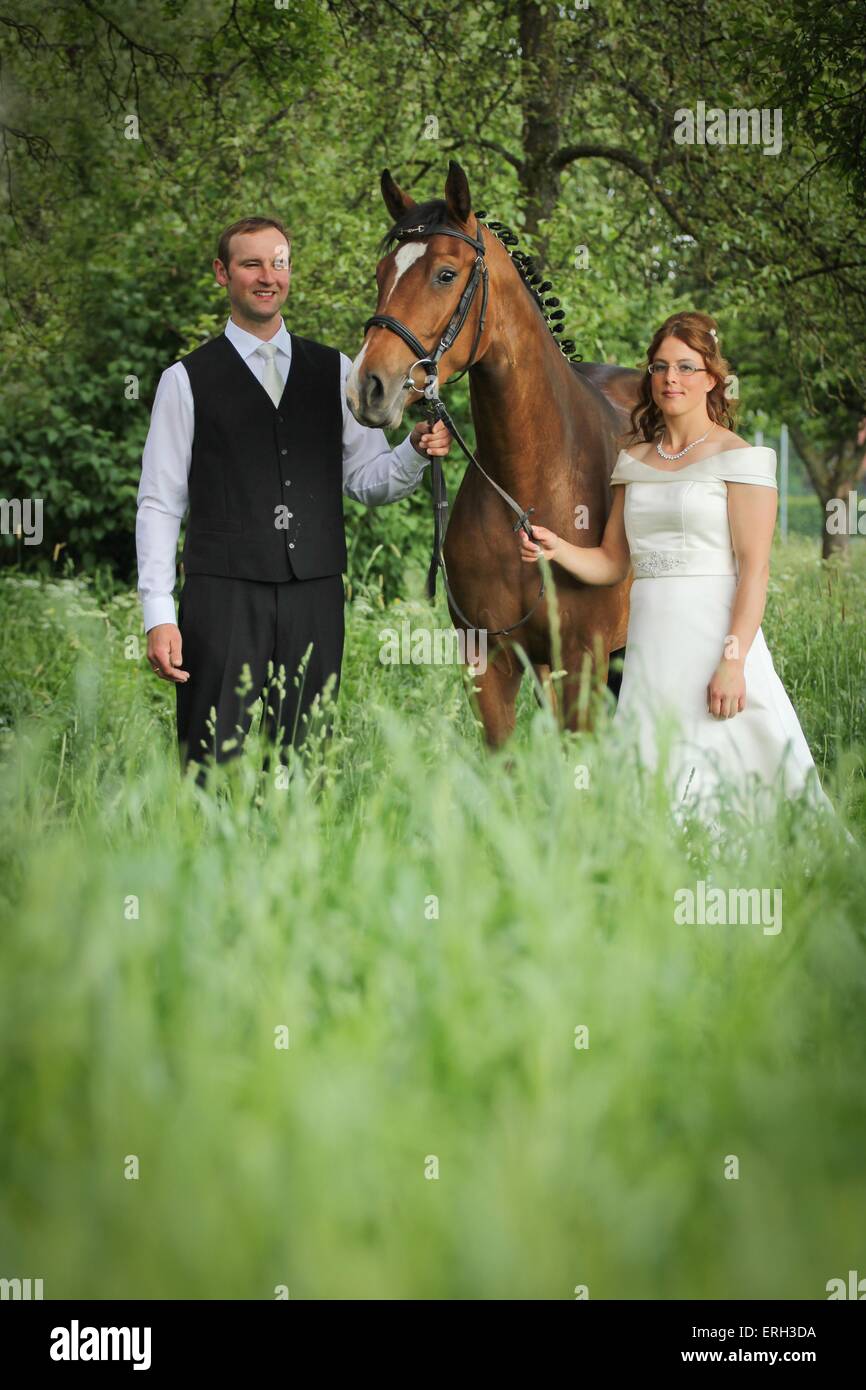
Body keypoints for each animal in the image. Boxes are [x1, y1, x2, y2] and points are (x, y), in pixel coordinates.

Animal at [346, 159, 644, 750]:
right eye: (381, 272)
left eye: (445, 274)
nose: (367, 387)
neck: (531, 487)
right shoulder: (490, 664)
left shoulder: (585, 662)